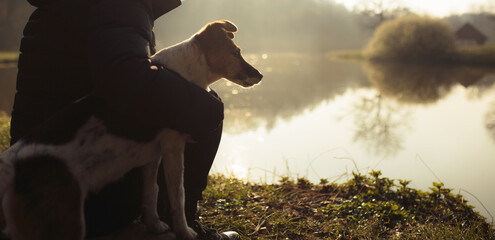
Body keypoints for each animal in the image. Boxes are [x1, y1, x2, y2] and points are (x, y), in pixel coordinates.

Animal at [0, 20, 264, 240]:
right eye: (236, 53)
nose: (260, 75)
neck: (183, 73)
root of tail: (11, 167)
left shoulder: (152, 155)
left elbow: (151, 192)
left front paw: (155, 226)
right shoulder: (173, 149)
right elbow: (177, 196)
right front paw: (185, 231)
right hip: (66, 223)